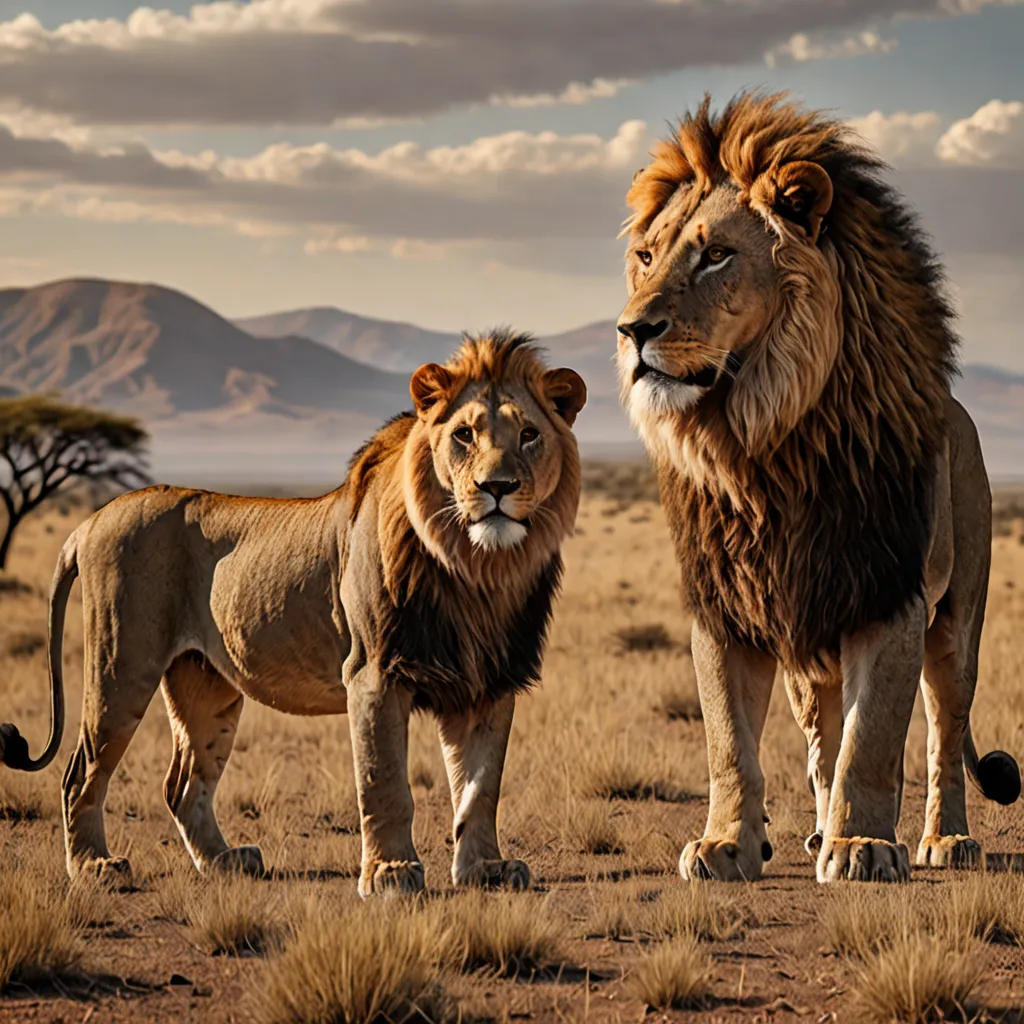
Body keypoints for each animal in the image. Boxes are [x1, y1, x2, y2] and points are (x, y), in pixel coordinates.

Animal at [0, 331, 586, 896]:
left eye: (528, 435)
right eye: (464, 435)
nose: (497, 488)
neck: (477, 569)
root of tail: (91, 520)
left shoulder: (488, 680)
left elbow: (480, 787)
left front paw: (486, 868)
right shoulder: (372, 673)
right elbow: (386, 783)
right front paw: (390, 873)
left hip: (206, 684)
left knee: (183, 784)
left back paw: (225, 862)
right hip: (121, 664)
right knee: (81, 773)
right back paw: (94, 867)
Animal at [616, 92, 1020, 883]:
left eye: (716, 254)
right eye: (647, 257)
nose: (632, 330)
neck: (762, 444)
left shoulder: (889, 595)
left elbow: (875, 738)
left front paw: (863, 846)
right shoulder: (726, 608)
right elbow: (729, 743)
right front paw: (725, 844)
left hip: (957, 622)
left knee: (943, 730)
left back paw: (944, 838)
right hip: (811, 643)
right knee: (820, 737)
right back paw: (815, 831)